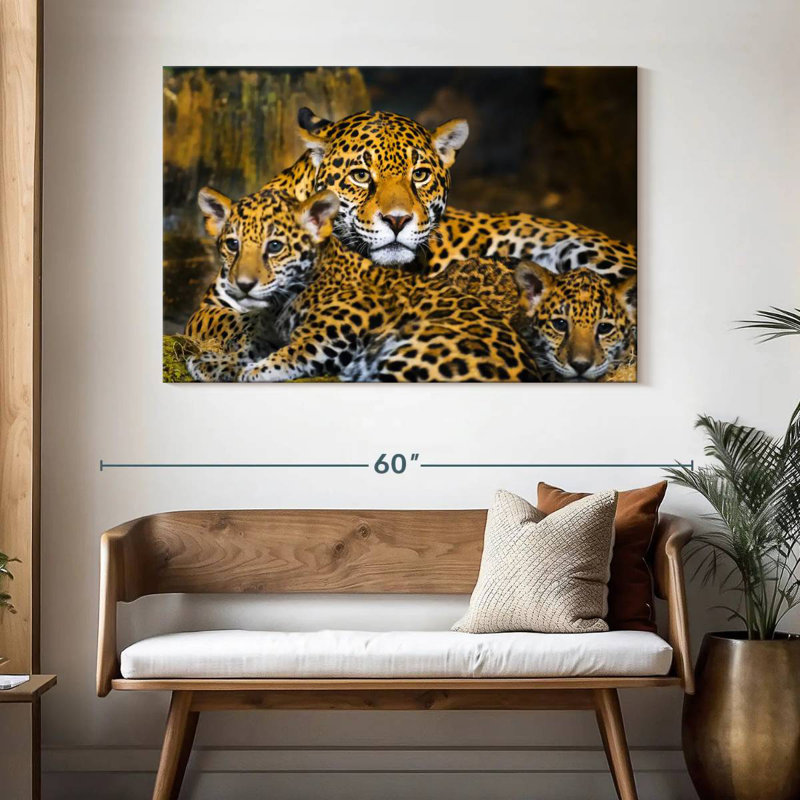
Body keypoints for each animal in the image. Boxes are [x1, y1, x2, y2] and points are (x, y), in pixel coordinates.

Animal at [186, 189, 541, 383]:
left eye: (274, 247)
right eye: (232, 244)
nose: (244, 285)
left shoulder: (341, 326)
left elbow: (296, 350)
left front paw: (257, 370)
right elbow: (249, 344)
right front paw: (214, 363)